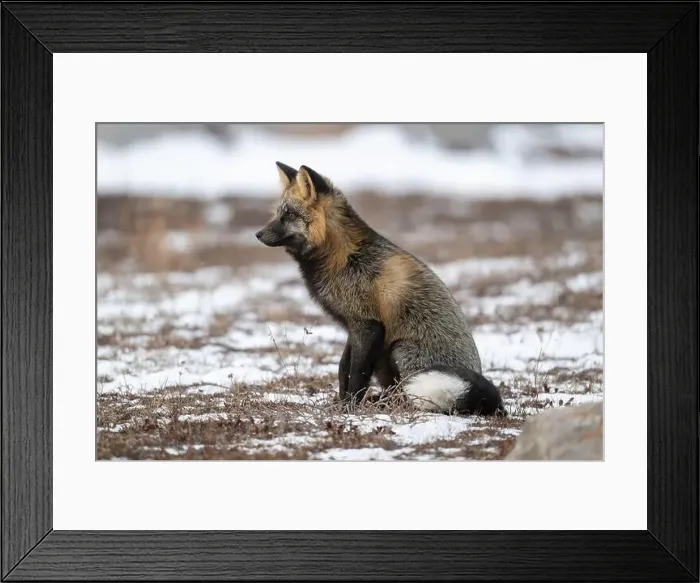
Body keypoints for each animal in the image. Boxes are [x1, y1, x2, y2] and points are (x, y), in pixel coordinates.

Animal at [255, 161, 506, 416]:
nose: (258, 234)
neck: (342, 256)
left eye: (289, 215)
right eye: (278, 213)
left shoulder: (369, 326)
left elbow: (356, 374)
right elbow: (343, 368)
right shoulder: (353, 324)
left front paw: (350, 407)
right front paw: (341, 403)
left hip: (399, 350)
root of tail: (497, 405)